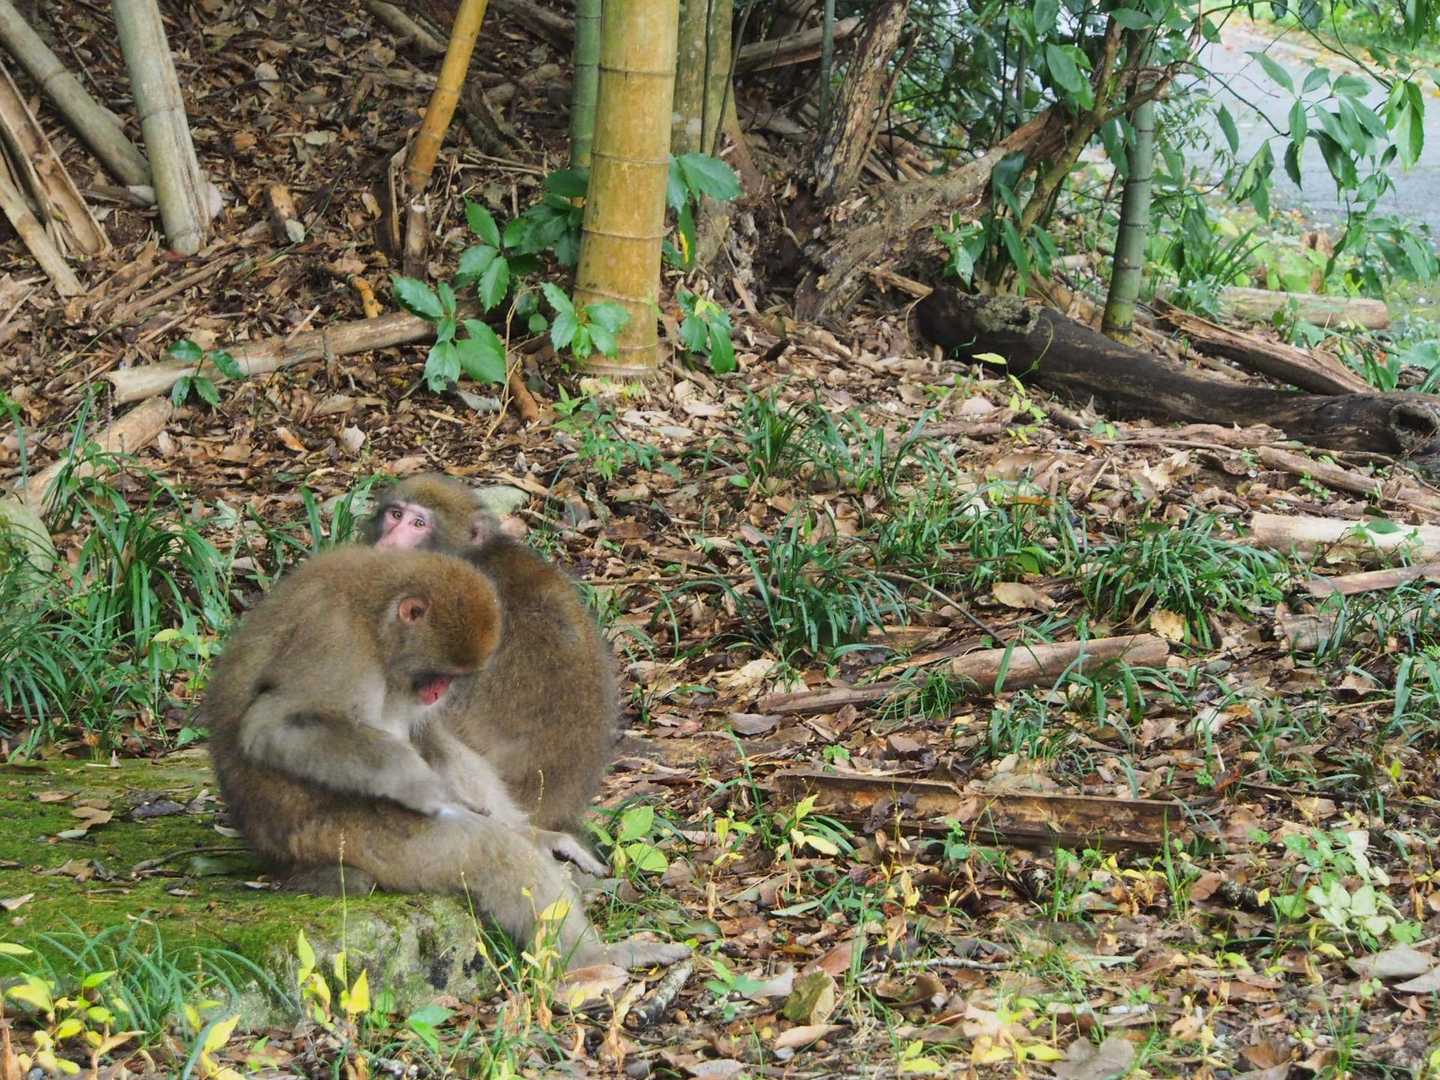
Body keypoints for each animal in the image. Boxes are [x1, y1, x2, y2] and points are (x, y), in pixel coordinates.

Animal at [203, 547, 681, 970]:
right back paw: (592, 960)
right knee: (483, 848)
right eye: (436, 674)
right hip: (341, 838)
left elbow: (423, 732)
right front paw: (422, 788)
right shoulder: (334, 642)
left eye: (450, 678)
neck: (371, 613)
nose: (438, 693)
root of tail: (278, 860)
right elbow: (272, 727)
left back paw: (534, 837)